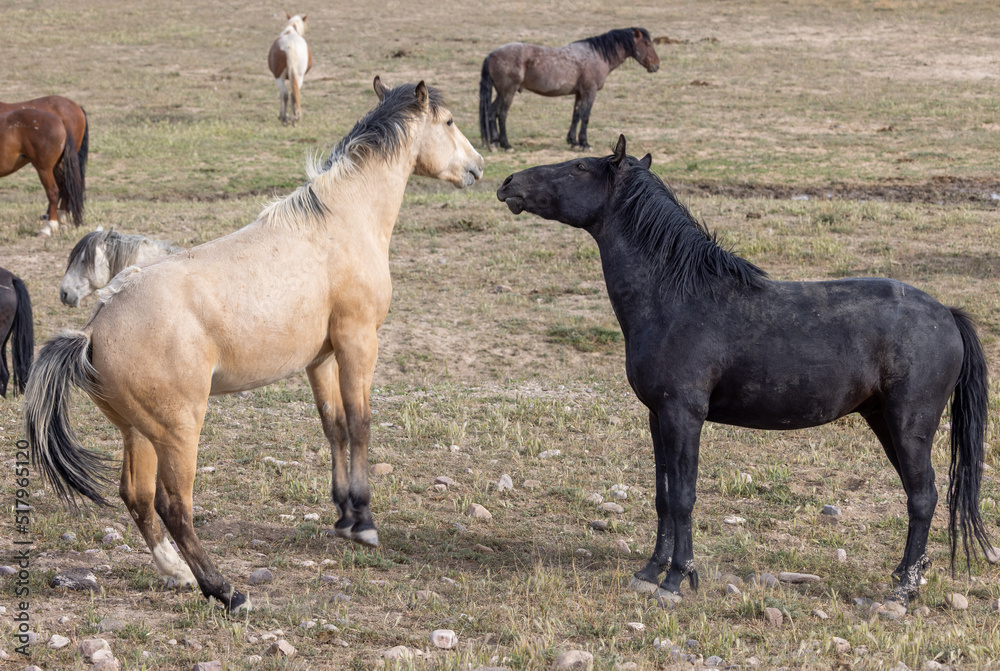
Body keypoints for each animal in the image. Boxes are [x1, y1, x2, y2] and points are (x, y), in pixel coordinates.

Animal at [0, 108, 85, 236]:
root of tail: (60, 120)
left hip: (44, 169)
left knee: (53, 192)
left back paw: (49, 226)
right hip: (56, 167)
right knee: (64, 188)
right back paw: (62, 220)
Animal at [24, 77, 483, 612]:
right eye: (448, 121)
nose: (476, 166)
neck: (340, 223)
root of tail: (93, 331)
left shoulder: (320, 359)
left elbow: (334, 426)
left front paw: (344, 516)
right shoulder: (357, 342)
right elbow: (361, 424)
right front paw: (364, 522)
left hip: (138, 433)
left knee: (135, 497)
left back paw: (177, 573)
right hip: (179, 432)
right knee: (173, 505)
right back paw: (225, 590)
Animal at [479, 28, 659, 151]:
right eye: (647, 43)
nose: (656, 65)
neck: (596, 55)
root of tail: (491, 54)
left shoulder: (579, 94)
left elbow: (576, 116)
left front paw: (573, 141)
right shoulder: (589, 92)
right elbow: (585, 117)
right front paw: (585, 143)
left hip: (501, 92)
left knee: (491, 112)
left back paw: (494, 142)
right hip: (508, 91)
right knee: (501, 114)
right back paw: (505, 144)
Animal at [497, 135, 992, 608]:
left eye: (579, 166)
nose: (508, 183)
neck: (676, 297)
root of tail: (947, 314)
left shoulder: (683, 416)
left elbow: (683, 496)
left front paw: (677, 579)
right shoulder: (658, 417)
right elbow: (662, 496)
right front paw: (650, 571)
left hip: (909, 426)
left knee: (924, 497)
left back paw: (902, 592)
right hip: (883, 422)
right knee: (918, 496)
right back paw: (905, 576)